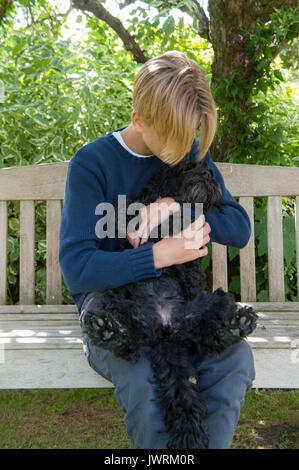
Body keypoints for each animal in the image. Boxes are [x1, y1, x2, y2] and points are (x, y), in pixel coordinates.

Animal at [81, 157, 258, 448]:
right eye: (186, 168)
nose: (209, 173)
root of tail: (167, 334)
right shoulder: (130, 213)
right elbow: (136, 211)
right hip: (111, 298)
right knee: (127, 341)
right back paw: (107, 329)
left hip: (214, 299)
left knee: (210, 335)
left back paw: (236, 324)